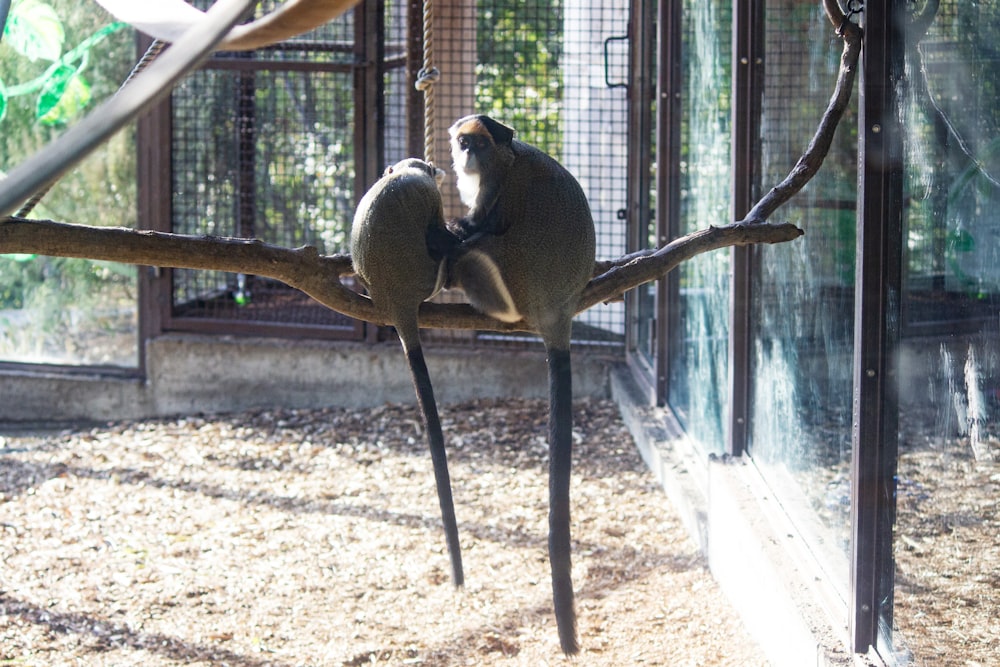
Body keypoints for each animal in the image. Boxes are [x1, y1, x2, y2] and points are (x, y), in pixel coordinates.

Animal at [350, 159, 462, 588]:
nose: (439, 170)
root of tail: (394, 301)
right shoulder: (429, 196)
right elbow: (437, 231)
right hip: (427, 278)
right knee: (440, 248)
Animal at [446, 116, 592, 656]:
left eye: (478, 143)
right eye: (461, 141)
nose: (465, 153)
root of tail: (558, 313)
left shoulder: (497, 189)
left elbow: (481, 226)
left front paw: (455, 229)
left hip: (516, 274)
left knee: (480, 248)